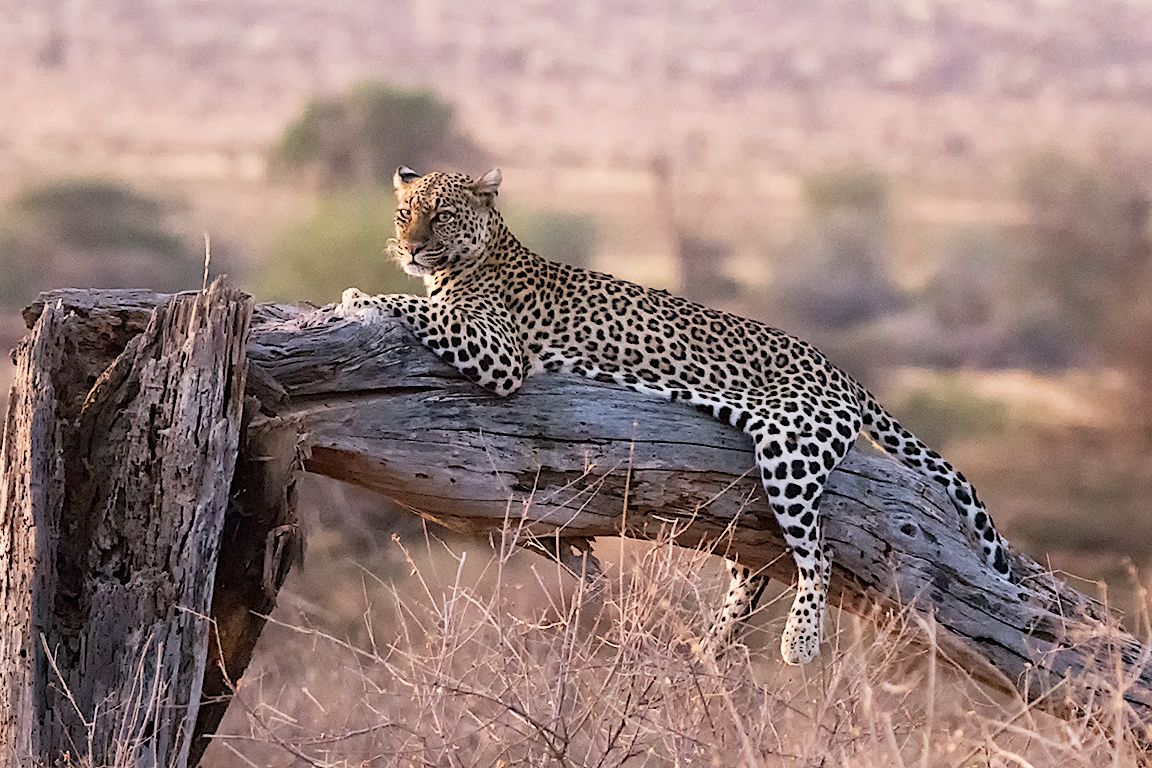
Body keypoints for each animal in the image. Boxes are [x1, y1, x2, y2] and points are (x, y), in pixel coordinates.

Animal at [335, 166, 1014, 665]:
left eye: (441, 216)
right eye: (404, 214)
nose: (412, 248)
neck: (476, 258)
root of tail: (838, 368)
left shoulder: (499, 352)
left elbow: (418, 310)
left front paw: (358, 296)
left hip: (789, 445)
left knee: (815, 555)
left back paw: (798, 641)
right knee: (756, 569)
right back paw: (706, 651)